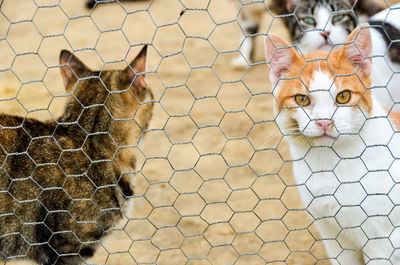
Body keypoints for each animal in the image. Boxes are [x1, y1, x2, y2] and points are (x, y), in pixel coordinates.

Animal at [266, 24, 400, 262]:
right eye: (302, 99)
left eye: (343, 97)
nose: (324, 122)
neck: (330, 164)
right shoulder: (333, 237)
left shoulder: (382, 242)